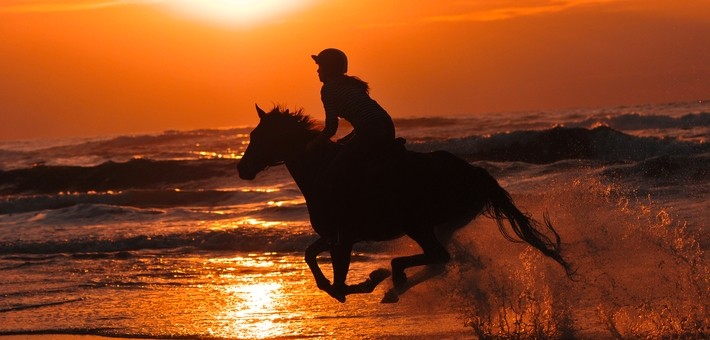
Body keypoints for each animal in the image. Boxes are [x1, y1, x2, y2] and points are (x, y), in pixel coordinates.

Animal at [238, 105, 572, 302]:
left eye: (258, 136)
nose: (242, 169)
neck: (319, 167)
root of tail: (473, 172)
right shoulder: (338, 235)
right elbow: (311, 257)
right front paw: (366, 282)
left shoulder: (342, 237)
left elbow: (338, 283)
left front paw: (370, 280)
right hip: (445, 223)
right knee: (439, 259)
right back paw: (396, 286)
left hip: (418, 224)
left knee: (437, 256)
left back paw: (395, 278)